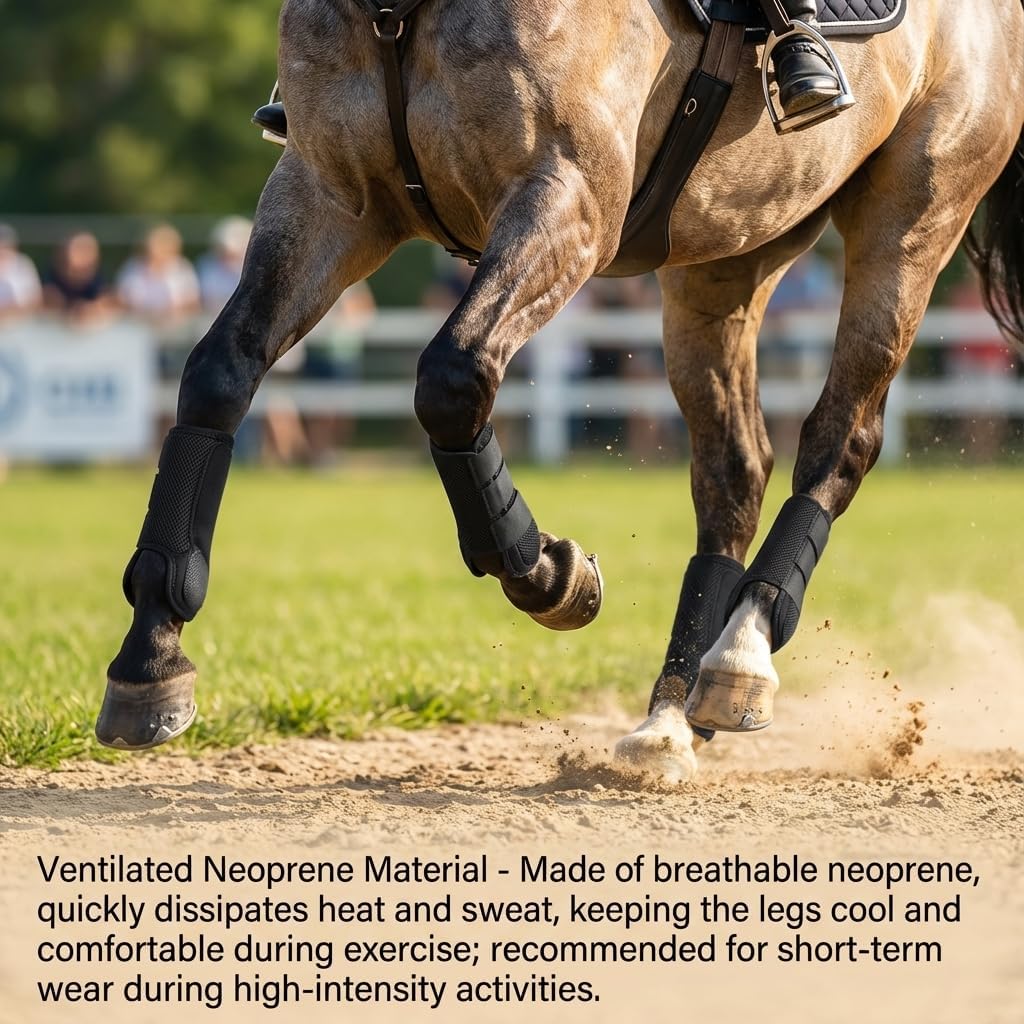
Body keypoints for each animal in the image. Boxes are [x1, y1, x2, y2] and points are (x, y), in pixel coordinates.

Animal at [98, 0, 1024, 783]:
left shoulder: (566, 199)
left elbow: (453, 377)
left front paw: (549, 574)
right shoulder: (327, 196)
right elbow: (218, 374)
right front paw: (151, 654)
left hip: (911, 222)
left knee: (842, 440)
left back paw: (743, 653)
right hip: (727, 256)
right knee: (735, 469)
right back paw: (671, 716)